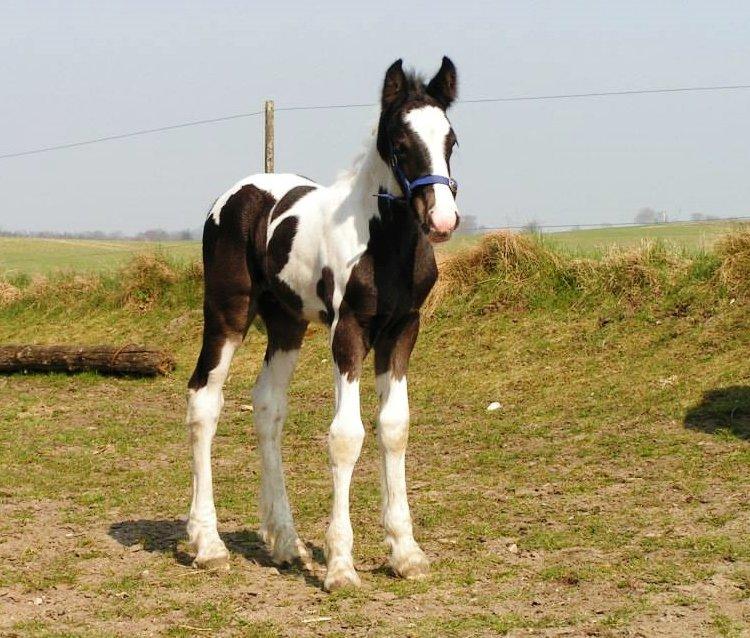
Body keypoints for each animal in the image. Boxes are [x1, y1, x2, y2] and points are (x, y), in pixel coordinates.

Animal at [185, 57, 462, 592]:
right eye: (399, 142)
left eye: (451, 140)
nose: (442, 220)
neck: (383, 243)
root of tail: (236, 194)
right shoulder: (348, 331)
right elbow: (346, 436)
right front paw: (340, 566)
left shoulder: (402, 332)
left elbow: (394, 427)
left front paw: (406, 553)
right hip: (227, 314)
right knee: (205, 399)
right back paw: (208, 544)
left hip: (286, 325)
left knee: (267, 406)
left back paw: (286, 543)